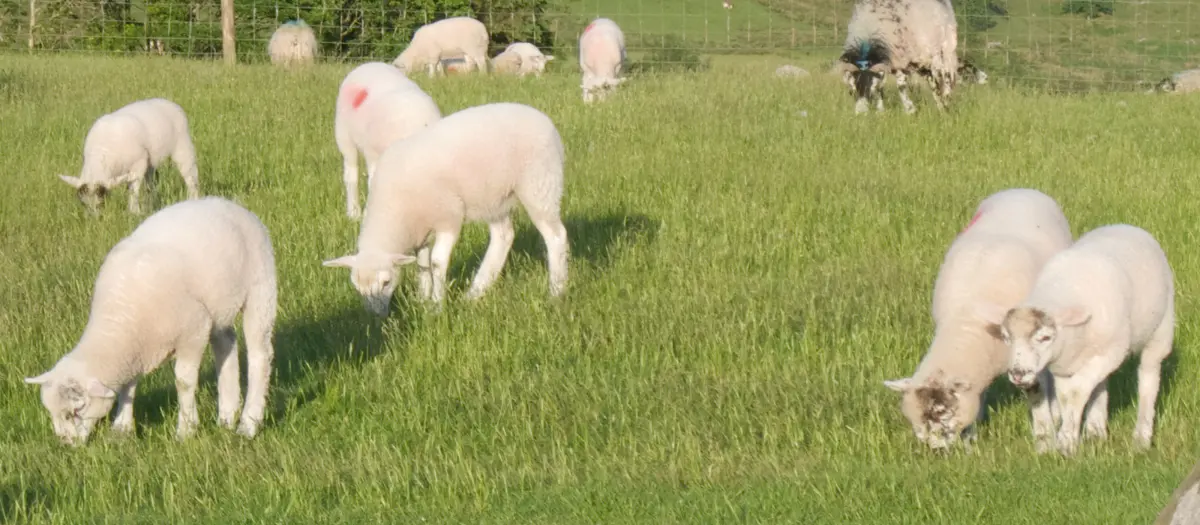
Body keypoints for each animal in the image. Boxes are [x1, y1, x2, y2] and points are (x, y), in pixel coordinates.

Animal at [23, 197, 278, 446]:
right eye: (52, 413)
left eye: (76, 411)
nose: (66, 444)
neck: (119, 321)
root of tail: (233, 205)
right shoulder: (134, 349)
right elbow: (128, 386)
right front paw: (122, 428)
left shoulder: (194, 330)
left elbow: (183, 382)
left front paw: (186, 429)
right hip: (219, 307)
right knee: (227, 346)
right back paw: (227, 415)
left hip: (261, 288)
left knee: (260, 356)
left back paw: (248, 423)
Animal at [58, 97, 201, 216]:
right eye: (83, 203)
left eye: (101, 203)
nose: (95, 220)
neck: (102, 153)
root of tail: (168, 102)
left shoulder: (139, 164)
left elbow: (133, 189)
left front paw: (134, 211)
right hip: (151, 161)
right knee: (151, 184)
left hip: (182, 146)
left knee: (190, 177)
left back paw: (193, 199)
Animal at [323, 102, 568, 316]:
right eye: (357, 287)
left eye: (386, 282)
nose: (375, 317)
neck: (393, 210)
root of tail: (544, 120)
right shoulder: (420, 229)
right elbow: (422, 264)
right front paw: (423, 297)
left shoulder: (449, 217)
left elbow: (437, 263)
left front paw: (436, 305)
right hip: (495, 198)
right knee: (503, 237)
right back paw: (476, 291)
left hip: (540, 185)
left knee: (556, 236)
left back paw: (556, 290)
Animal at [884, 188, 1072, 453]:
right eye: (915, 422)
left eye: (943, 414)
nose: (937, 452)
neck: (970, 317)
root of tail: (1020, 190)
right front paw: (970, 439)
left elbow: (1036, 393)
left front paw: (1044, 440)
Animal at [996, 224, 1175, 456]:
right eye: (1006, 338)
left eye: (1045, 337)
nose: (1018, 374)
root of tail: (1125, 226)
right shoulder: (1063, 366)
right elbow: (1065, 397)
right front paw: (1070, 436)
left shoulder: (1110, 353)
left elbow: (1076, 392)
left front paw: (1066, 442)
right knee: (1101, 384)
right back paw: (1096, 430)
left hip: (1160, 331)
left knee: (1148, 379)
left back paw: (1141, 437)